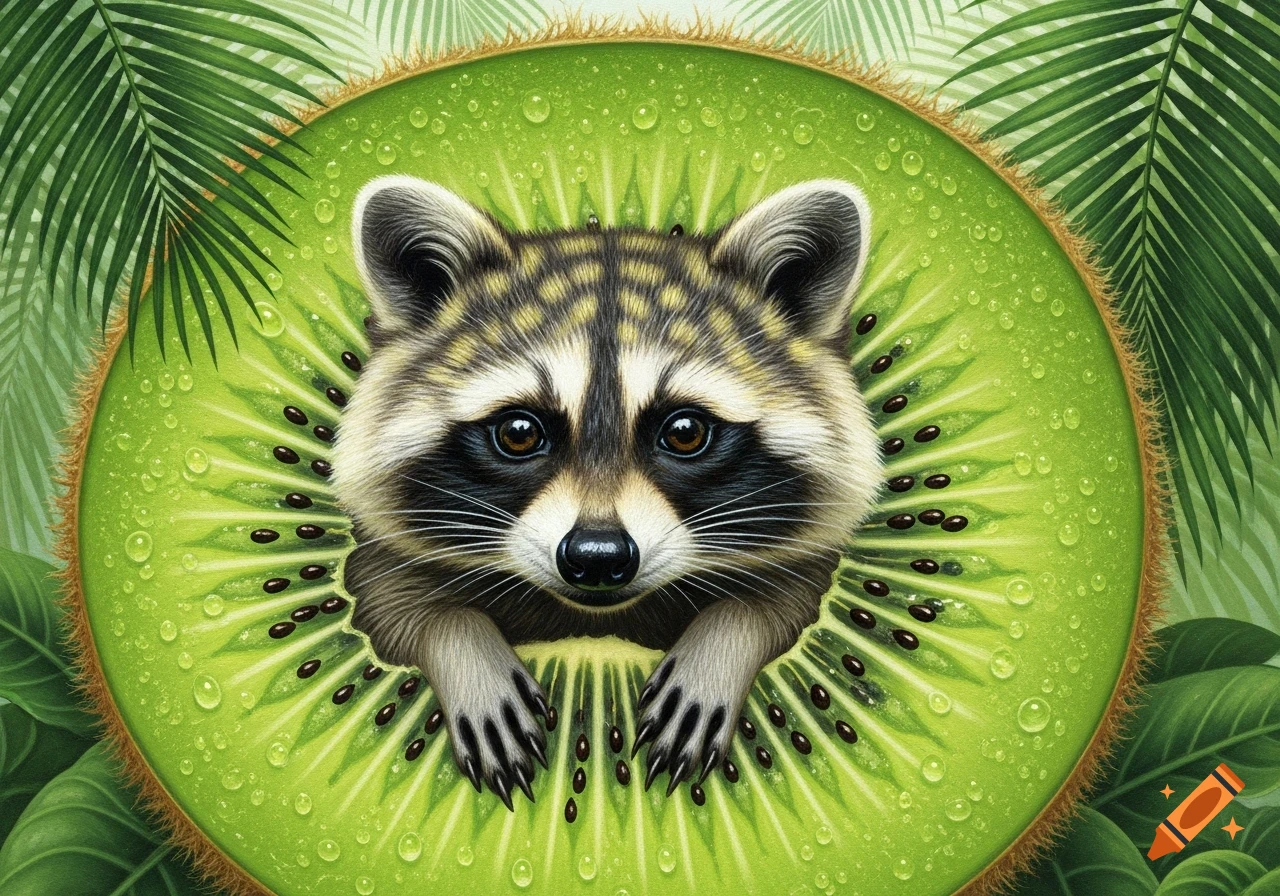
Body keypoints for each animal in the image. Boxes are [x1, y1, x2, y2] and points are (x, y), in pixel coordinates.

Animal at [332, 175, 881, 808]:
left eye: (685, 431)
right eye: (519, 432)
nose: (597, 557)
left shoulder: (804, 557)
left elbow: (778, 599)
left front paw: (723, 642)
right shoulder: (381, 557)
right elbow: (393, 602)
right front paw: (463, 648)